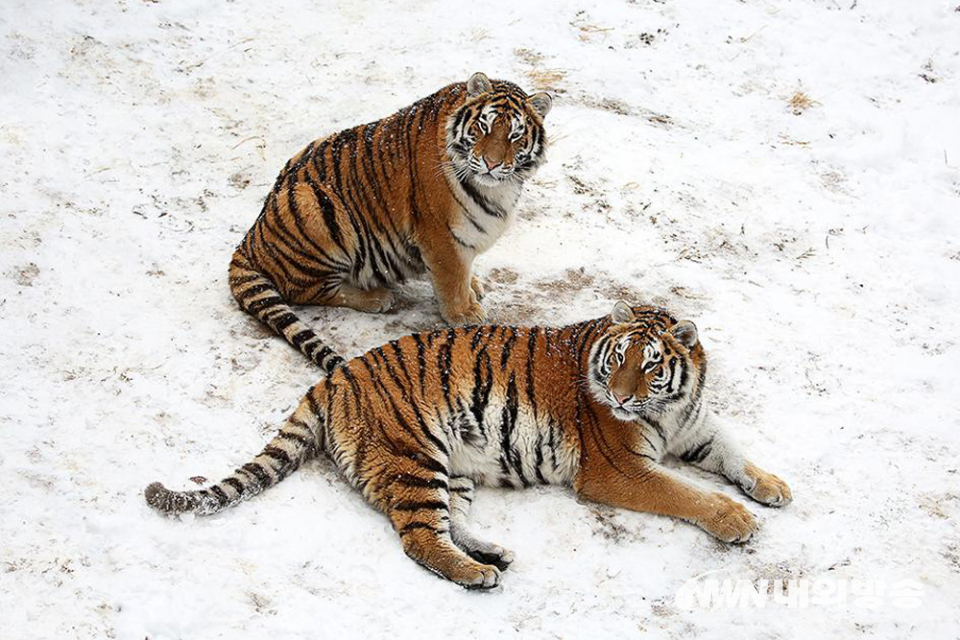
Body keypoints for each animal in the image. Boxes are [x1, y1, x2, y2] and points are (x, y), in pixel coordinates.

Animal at [146, 304, 792, 592]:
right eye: (618, 361)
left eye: (651, 366)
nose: (618, 395)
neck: (670, 407)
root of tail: (335, 377)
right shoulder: (619, 469)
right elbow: (686, 493)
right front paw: (736, 519)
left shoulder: (697, 427)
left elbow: (734, 452)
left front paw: (773, 486)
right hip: (414, 458)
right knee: (420, 539)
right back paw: (476, 574)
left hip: (452, 464)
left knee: (450, 520)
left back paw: (492, 553)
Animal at [228, 72, 552, 372]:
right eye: (484, 126)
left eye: (515, 135)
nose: (491, 164)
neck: (498, 188)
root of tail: (249, 240)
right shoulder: (439, 234)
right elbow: (451, 277)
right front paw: (463, 313)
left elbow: (463, 268)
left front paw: (472, 285)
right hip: (312, 204)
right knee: (307, 291)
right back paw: (376, 298)